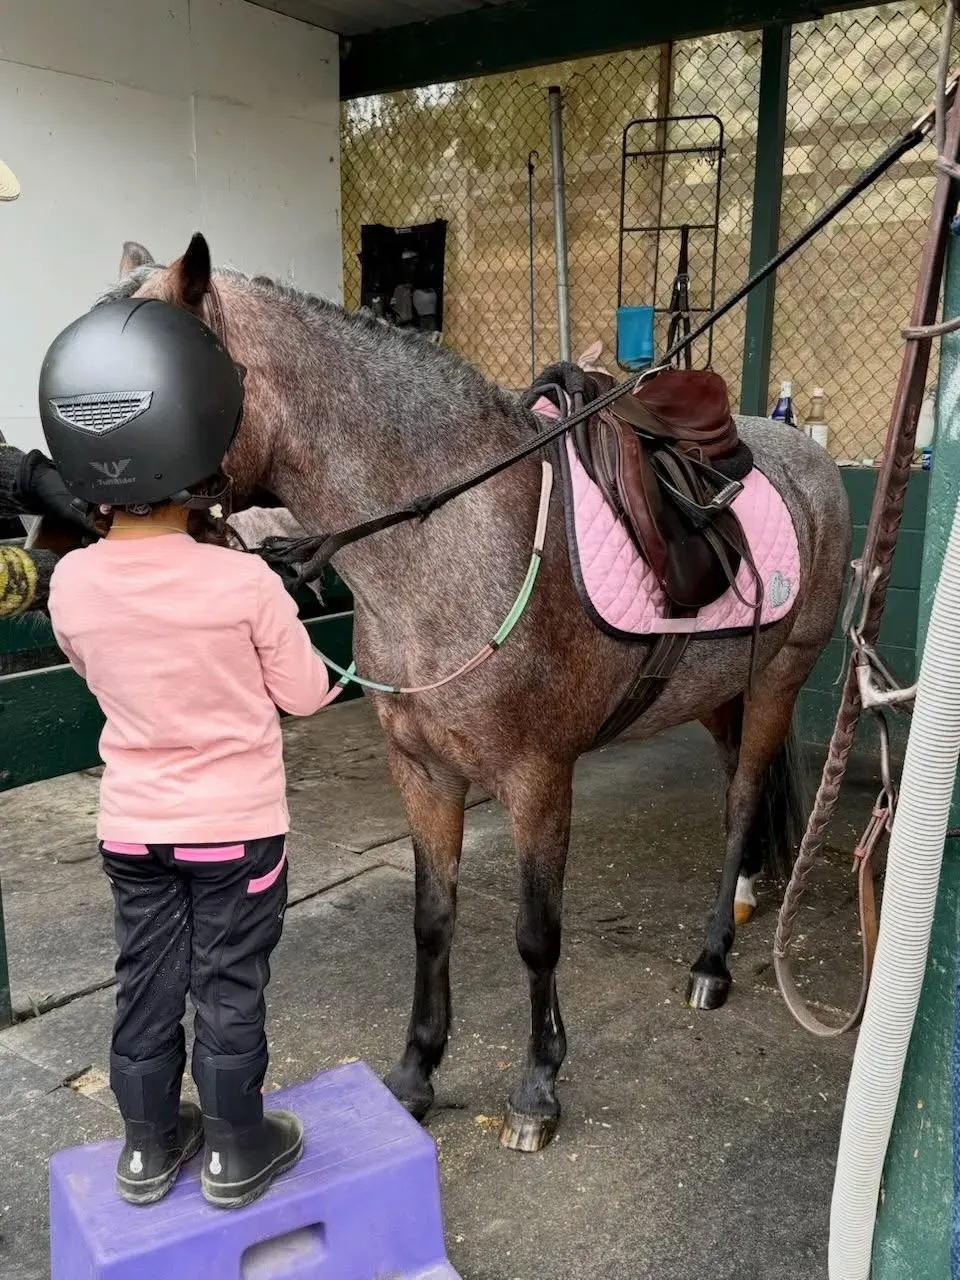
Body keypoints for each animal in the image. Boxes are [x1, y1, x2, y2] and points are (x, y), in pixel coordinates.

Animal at [94, 234, 849, 1152]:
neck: (453, 539)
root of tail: (809, 460)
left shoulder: (538, 779)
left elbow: (536, 934)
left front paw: (537, 1089)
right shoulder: (422, 772)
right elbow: (431, 919)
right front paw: (416, 1073)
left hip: (778, 679)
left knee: (740, 807)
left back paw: (711, 962)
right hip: (716, 697)